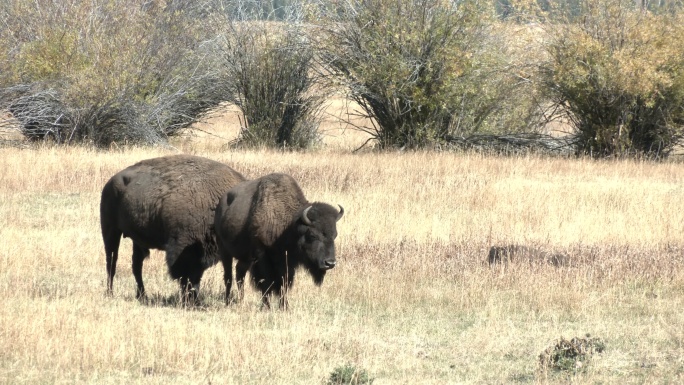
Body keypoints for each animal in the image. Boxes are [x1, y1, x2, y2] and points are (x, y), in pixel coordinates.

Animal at [102, 153, 248, 300]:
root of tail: (110, 182)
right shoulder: (182, 247)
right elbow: (186, 275)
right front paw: (188, 298)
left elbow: (194, 276)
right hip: (110, 231)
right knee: (111, 261)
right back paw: (110, 292)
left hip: (136, 240)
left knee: (136, 265)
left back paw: (142, 295)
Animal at [216, 172, 344, 308]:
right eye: (312, 235)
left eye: (334, 235)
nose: (330, 263)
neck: (289, 225)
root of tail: (221, 204)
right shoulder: (262, 257)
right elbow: (266, 282)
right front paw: (266, 306)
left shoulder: (287, 262)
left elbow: (284, 283)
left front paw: (284, 306)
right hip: (225, 252)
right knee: (228, 276)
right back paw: (227, 301)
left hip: (245, 258)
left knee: (239, 273)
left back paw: (241, 300)